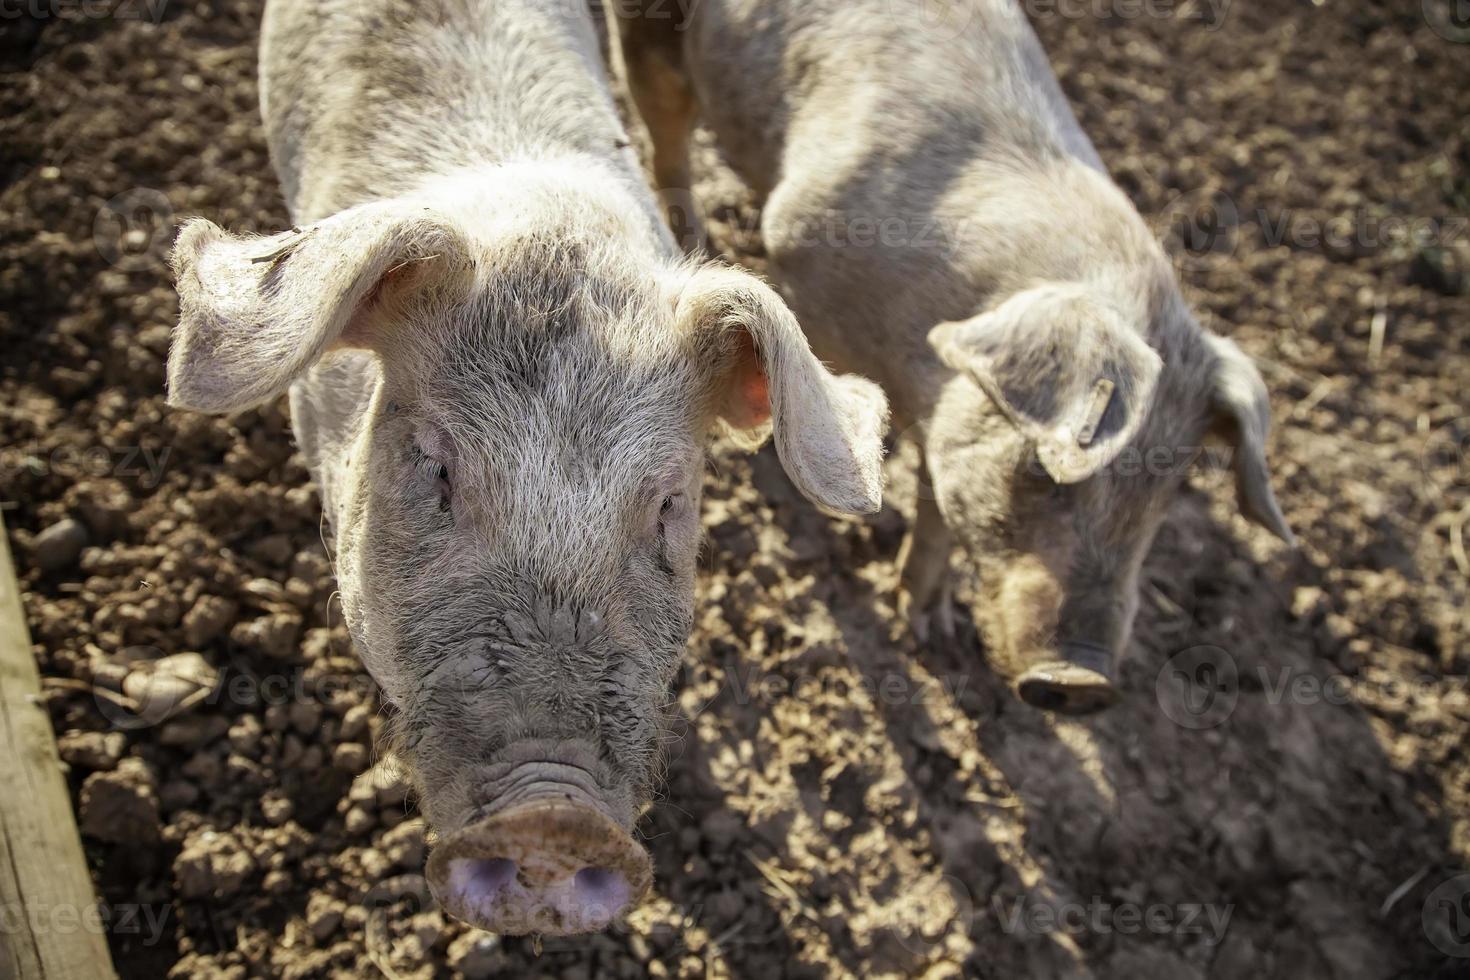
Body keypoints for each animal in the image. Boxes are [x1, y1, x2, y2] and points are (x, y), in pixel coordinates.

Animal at [614, 0, 1293, 714]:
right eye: (1042, 471)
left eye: (1166, 490)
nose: (1081, 683)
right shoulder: (797, 250)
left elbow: (939, 503)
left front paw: (932, 631)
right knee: (667, 138)